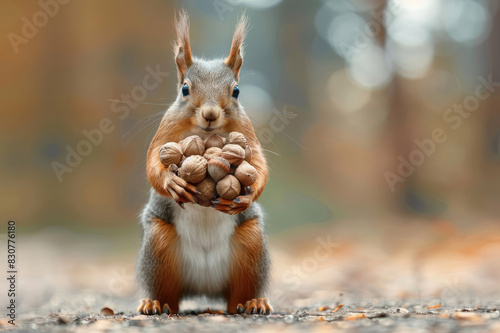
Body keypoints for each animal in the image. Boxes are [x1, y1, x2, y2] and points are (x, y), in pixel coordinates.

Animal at [135, 11, 272, 314]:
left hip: (251, 244)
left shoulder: (246, 133)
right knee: (168, 295)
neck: (207, 134)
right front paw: (172, 182)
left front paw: (248, 195)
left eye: (236, 91)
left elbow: (259, 164)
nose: (210, 114)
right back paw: (155, 303)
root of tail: (205, 289)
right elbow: (152, 163)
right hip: (158, 246)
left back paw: (252, 302)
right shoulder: (165, 131)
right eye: (185, 88)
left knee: (239, 295)